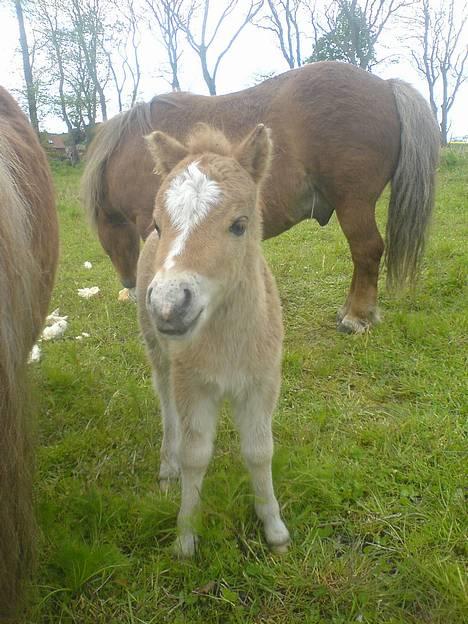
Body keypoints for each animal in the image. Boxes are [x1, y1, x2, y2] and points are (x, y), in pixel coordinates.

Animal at [135, 123, 288, 556]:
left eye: (239, 224)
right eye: (158, 225)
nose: (169, 305)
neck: (228, 346)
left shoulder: (262, 382)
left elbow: (260, 451)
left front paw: (274, 529)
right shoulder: (194, 384)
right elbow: (195, 455)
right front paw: (186, 536)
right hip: (158, 352)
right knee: (165, 399)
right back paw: (166, 466)